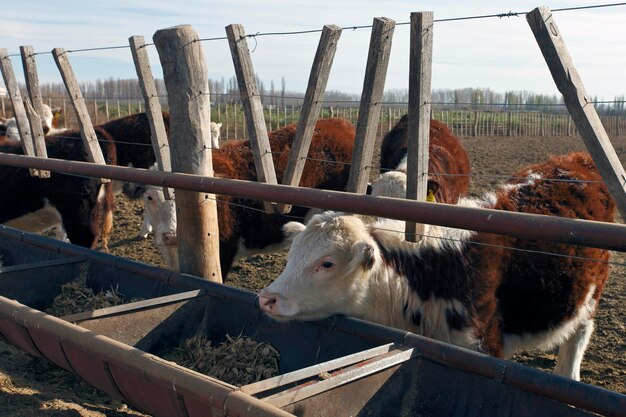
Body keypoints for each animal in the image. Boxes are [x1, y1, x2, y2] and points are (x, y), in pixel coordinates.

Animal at [258, 151, 616, 378]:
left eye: (327, 263)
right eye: (291, 256)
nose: (267, 298)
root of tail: (576, 161)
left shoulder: (482, 345)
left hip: (588, 301)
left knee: (577, 340)